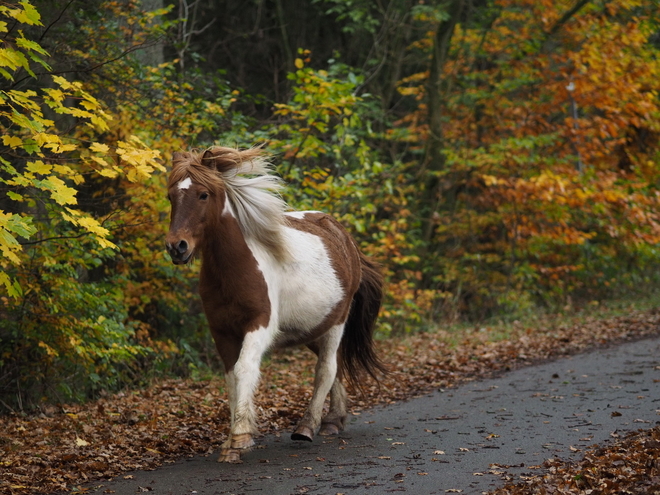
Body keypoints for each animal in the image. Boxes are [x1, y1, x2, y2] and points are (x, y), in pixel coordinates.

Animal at [163, 145, 386, 464]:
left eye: (203, 194)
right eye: (171, 196)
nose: (177, 247)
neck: (233, 269)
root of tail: (345, 238)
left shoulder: (259, 325)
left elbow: (244, 369)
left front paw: (240, 438)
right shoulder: (222, 332)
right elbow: (231, 378)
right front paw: (231, 442)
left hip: (336, 323)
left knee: (326, 368)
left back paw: (307, 426)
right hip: (313, 329)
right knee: (335, 367)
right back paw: (333, 421)